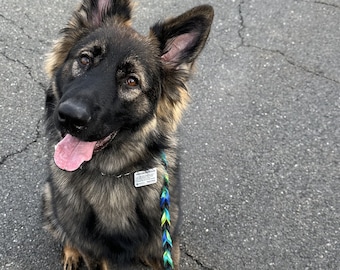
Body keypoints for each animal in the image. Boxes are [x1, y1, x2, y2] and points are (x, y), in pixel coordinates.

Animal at [41, 1, 212, 268]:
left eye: (131, 81)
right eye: (85, 59)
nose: (70, 116)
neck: (113, 176)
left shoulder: (164, 247)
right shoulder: (96, 253)